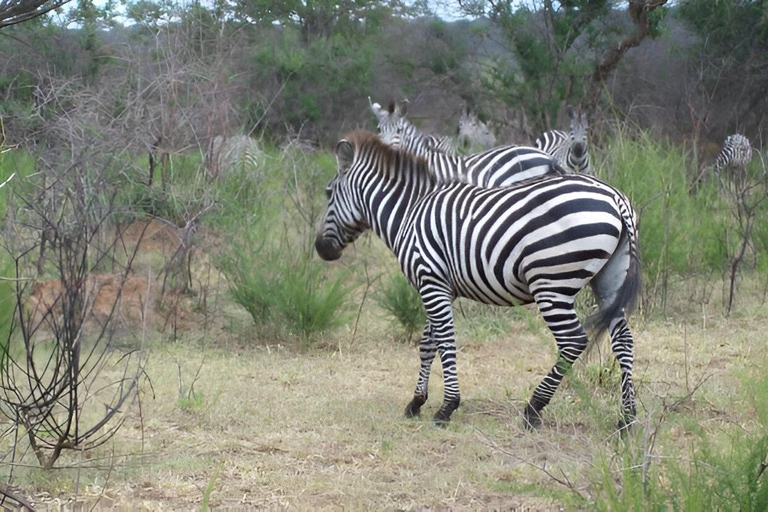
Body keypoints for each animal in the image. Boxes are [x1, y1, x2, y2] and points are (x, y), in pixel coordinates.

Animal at [316, 130, 640, 430]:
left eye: (328, 193)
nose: (321, 249)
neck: (409, 211)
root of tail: (616, 198)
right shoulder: (439, 285)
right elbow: (428, 343)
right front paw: (416, 401)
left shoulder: (430, 280)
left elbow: (445, 341)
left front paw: (446, 407)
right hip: (609, 279)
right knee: (623, 339)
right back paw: (626, 418)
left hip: (551, 284)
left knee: (573, 340)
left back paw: (533, 409)